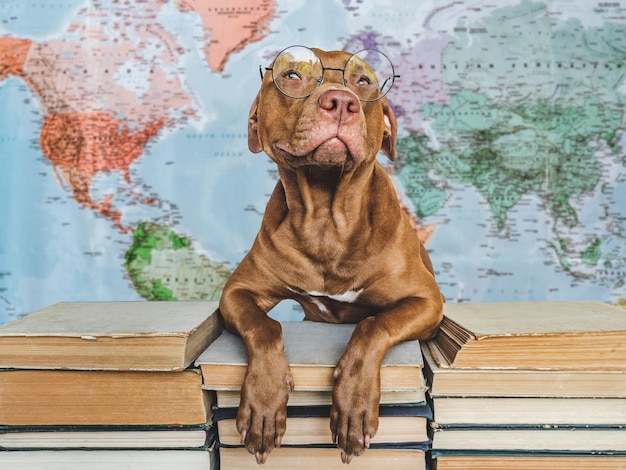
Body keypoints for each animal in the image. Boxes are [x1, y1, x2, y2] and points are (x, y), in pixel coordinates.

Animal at [219, 47, 444, 462]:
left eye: (364, 81)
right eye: (292, 75)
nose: (341, 102)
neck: (327, 219)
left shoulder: (427, 302)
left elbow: (373, 325)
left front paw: (353, 403)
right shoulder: (237, 293)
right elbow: (265, 326)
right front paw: (263, 402)